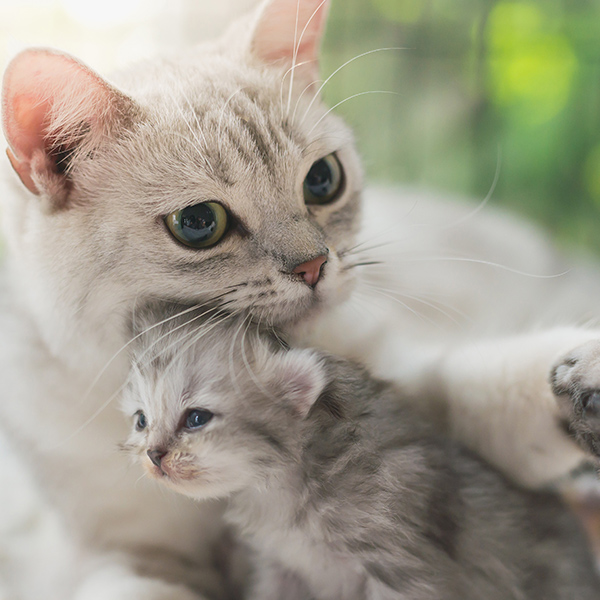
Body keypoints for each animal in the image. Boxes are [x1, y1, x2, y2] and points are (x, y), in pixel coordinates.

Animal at [120, 304, 600, 600]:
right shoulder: (282, 568)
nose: (154, 456)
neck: (289, 492)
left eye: (197, 418)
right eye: (141, 420)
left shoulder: (400, 566)